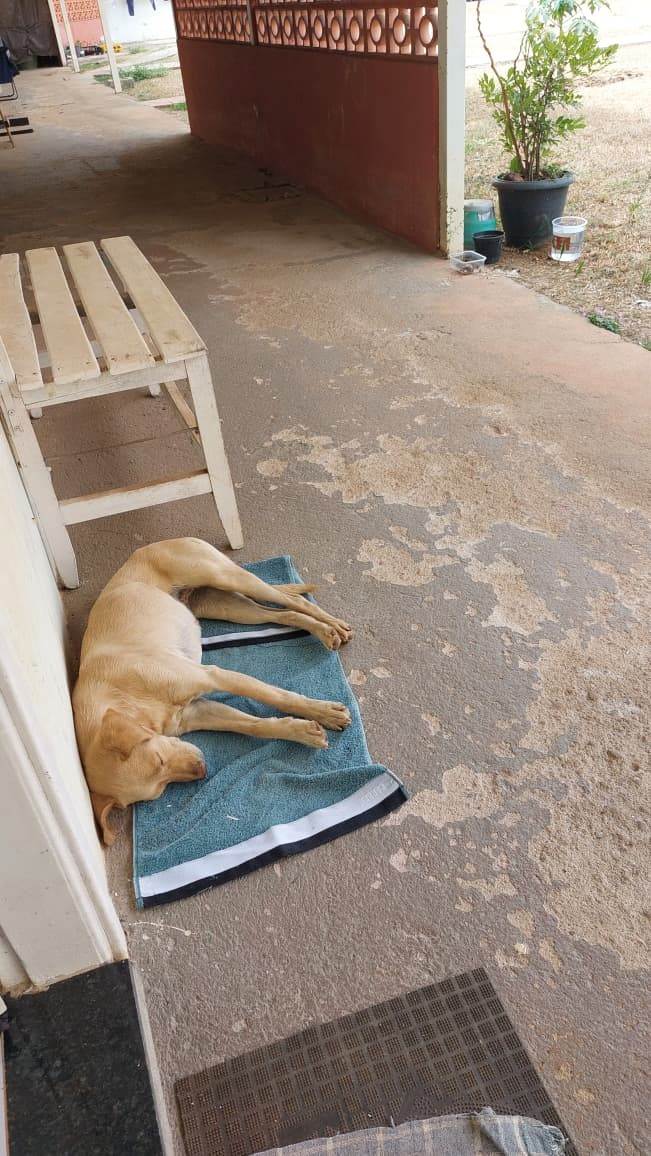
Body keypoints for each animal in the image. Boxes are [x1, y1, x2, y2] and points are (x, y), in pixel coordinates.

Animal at [73, 538, 353, 845]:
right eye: (161, 788)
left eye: (159, 760)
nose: (202, 770)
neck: (125, 698)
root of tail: (151, 545)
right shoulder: (199, 712)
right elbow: (255, 726)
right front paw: (301, 731)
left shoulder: (213, 676)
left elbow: (277, 696)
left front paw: (324, 713)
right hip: (232, 608)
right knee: (285, 613)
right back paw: (322, 629)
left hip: (228, 577)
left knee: (294, 601)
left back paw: (331, 627)